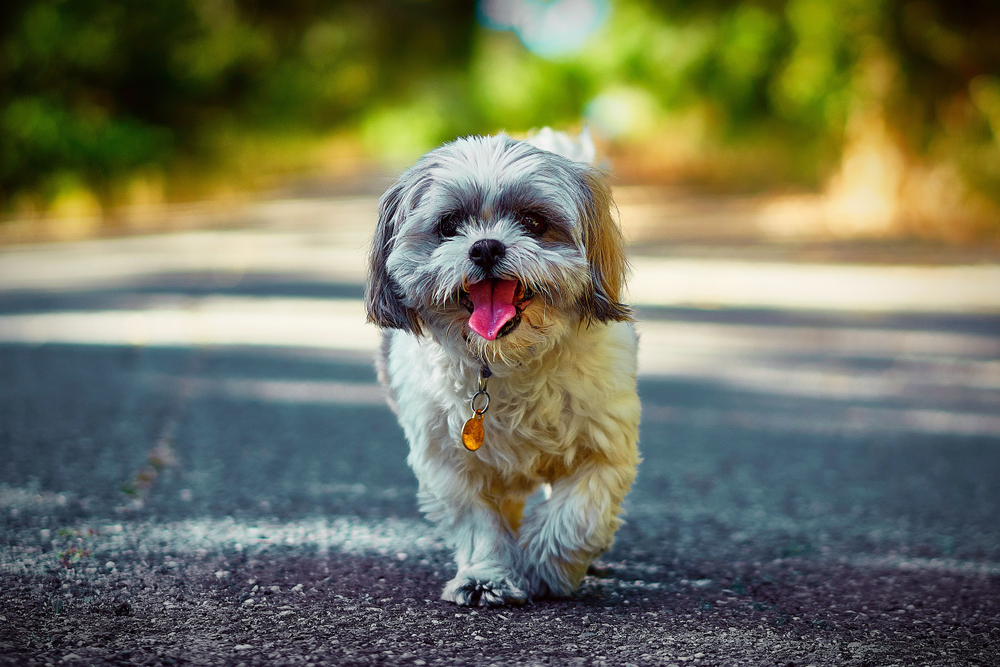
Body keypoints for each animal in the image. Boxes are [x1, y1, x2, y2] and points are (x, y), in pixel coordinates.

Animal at [368, 128, 640, 608]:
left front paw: (546, 569)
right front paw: (486, 576)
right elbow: (479, 523)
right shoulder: (450, 463)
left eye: (533, 222)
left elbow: (578, 516)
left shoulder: (603, 448)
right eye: (449, 225)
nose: (485, 246)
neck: (507, 362)